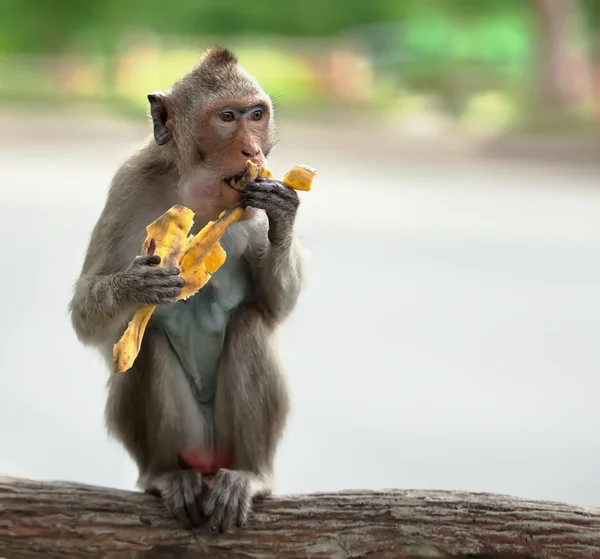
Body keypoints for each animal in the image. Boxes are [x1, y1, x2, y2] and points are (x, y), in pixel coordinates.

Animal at [69, 46, 304, 532]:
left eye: (257, 115)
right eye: (227, 117)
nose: (253, 149)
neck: (199, 195)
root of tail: (208, 459)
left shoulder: (251, 206)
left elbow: (274, 308)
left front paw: (284, 210)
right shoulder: (128, 186)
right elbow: (86, 316)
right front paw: (136, 284)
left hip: (226, 442)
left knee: (250, 325)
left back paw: (250, 474)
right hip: (186, 439)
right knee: (147, 346)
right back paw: (165, 475)